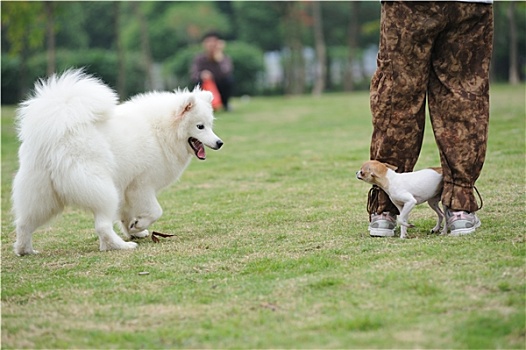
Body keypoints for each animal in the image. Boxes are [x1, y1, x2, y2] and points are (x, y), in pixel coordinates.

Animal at [12, 69, 223, 254]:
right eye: (200, 126)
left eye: (210, 125)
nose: (219, 143)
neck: (161, 130)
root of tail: (58, 133)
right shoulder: (141, 186)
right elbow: (156, 211)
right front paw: (138, 226)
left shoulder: (126, 188)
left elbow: (125, 215)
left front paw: (134, 229)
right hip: (102, 190)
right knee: (102, 226)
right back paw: (120, 246)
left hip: (42, 197)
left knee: (24, 223)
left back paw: (25, 250)